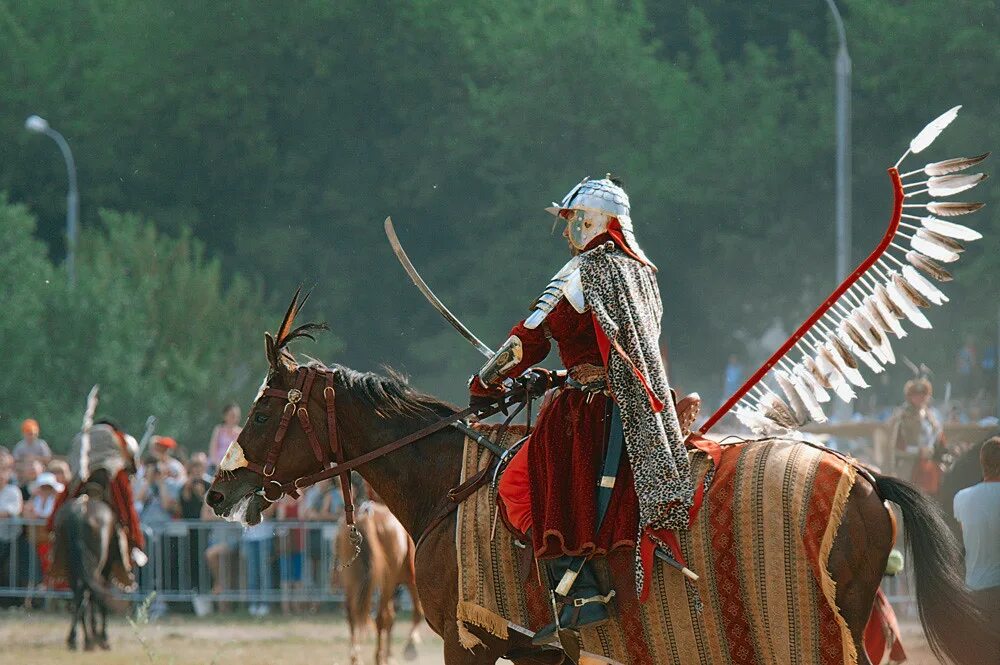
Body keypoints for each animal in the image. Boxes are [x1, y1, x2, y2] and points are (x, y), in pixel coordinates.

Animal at [340, 498, 422, 664]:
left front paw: (389, 654)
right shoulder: (411, 582)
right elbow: (417, 612)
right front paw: (409, 647)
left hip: (351, 579)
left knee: (352, 614)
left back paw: (356, 657)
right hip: (388, 580)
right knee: (381, 617)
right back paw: (378, 657)